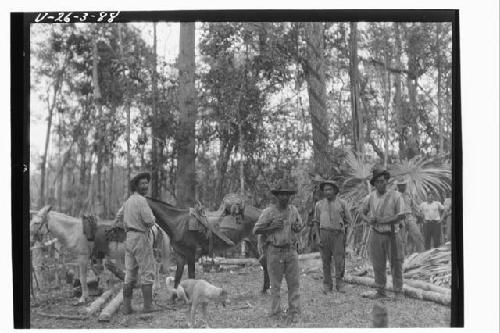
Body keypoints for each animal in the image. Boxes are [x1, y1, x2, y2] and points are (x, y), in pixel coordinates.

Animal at [29, 205, 170, 304]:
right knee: (155, 267)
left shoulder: (82, 257)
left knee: (153, 267)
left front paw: (83, 298)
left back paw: (154, 287)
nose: (31, 240)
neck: (74, 231)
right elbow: (99, 273)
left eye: (36, 222)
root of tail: (155, 225)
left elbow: (83, 277)